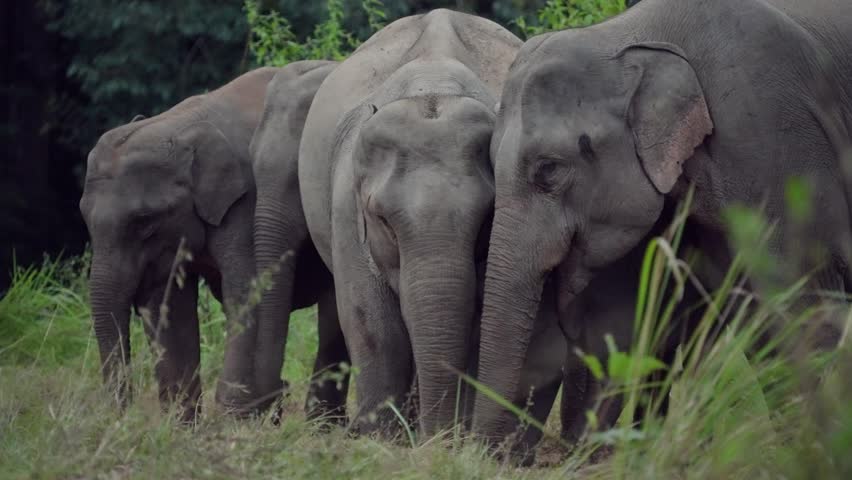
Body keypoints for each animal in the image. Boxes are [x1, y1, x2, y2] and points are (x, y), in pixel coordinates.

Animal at [298, 9, 536, 437]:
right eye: (382, 220)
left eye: (487, 220)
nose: (435, 436)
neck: (432, 81)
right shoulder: (346, 205)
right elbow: (372, 323)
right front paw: (379, 439)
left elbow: (481, 319)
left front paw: (452, 437)